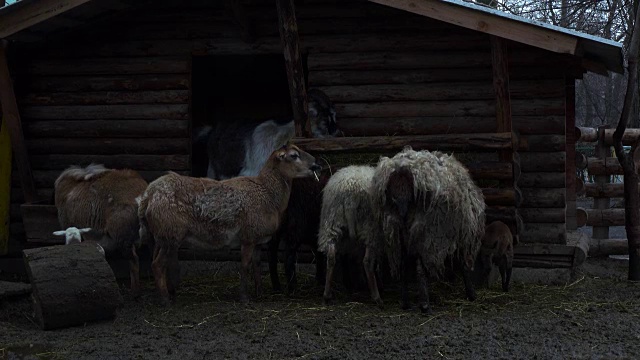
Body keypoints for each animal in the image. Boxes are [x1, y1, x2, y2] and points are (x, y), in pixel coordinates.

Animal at [316, 165, 382, 306]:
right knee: (367, 261)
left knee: (331, 257)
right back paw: (377, 298)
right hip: (370, 227)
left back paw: (327, 296)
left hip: (331, 223)